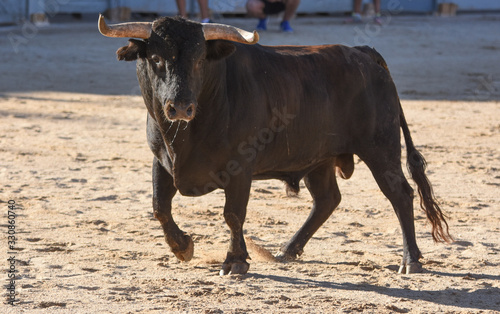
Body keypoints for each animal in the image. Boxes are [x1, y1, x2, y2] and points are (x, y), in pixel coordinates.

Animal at [99, 15, 452, 274]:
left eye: (200, 59)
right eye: (156, 58)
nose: (181, 107)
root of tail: (363, 52)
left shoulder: (240, 168)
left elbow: (233, 214)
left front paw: (235, 262)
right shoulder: (161, 161)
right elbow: (160, 207)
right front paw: (183, 247)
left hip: (381, 148)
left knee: (400, 194)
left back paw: (411, 260)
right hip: (319, 159)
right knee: (327, 199)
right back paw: (287, 250)